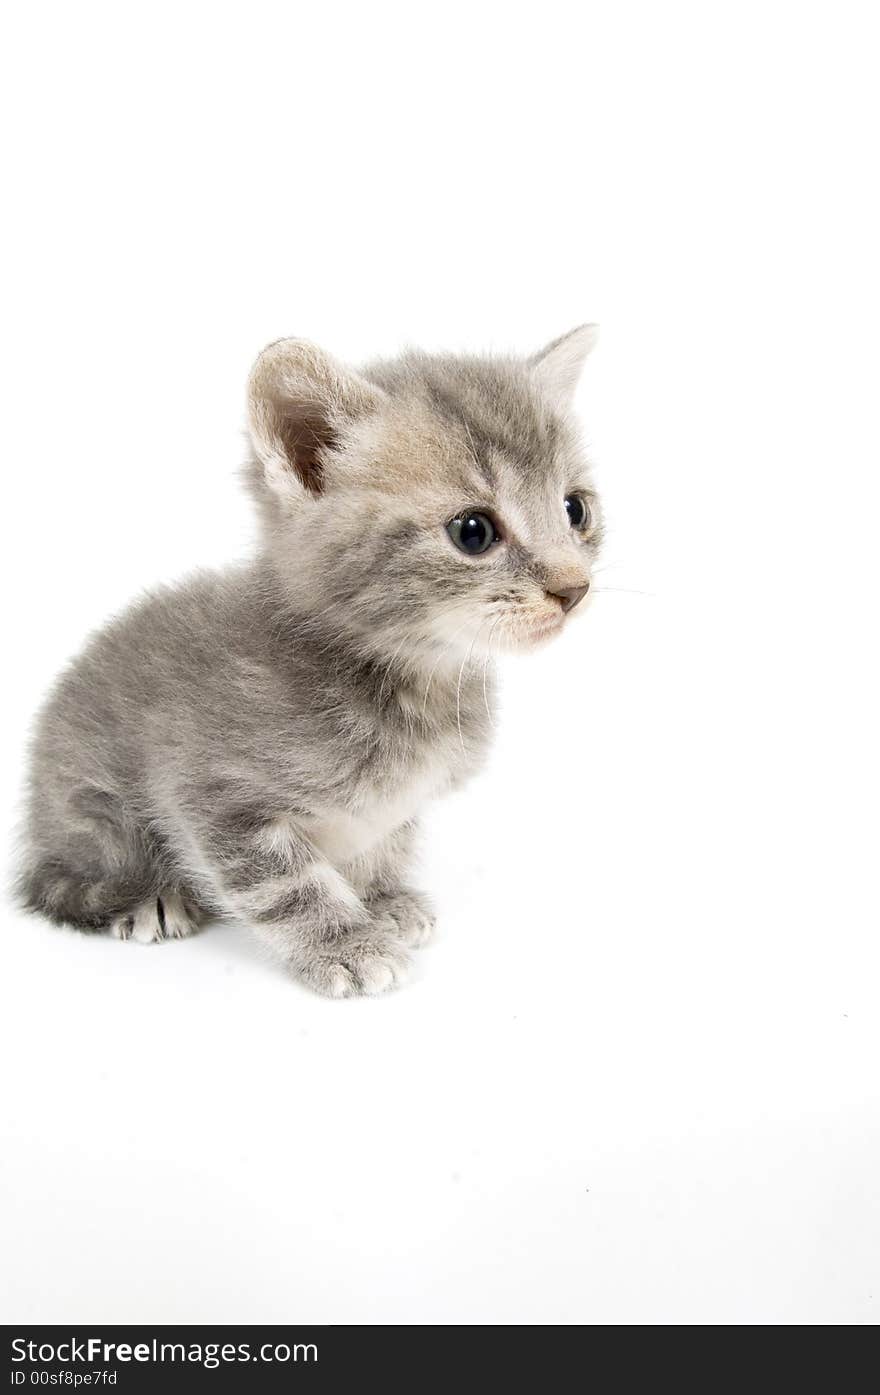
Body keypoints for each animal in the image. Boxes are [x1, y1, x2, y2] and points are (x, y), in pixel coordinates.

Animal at [15, 326, 605, 998]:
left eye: (576, 509)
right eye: (473, 531)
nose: (574, 588)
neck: (412, 682)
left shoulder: (392, 811)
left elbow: (381, 843)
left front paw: (380, 900)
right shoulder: (217, 793)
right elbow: (288, 885)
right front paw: (347, 943)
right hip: (92, 809)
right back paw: (148, 898)